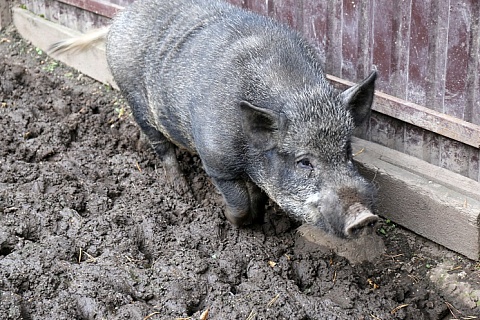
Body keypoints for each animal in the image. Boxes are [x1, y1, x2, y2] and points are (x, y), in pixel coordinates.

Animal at [49, 0, 378, 238]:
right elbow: (239, 200)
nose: (364, 217)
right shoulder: (216, 162)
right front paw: (228, 216)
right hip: (134, 98)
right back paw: (179, 189)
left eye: (347, 150)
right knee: (160, 144)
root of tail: (119, 17)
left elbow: (258, 195)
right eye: (304, 161)